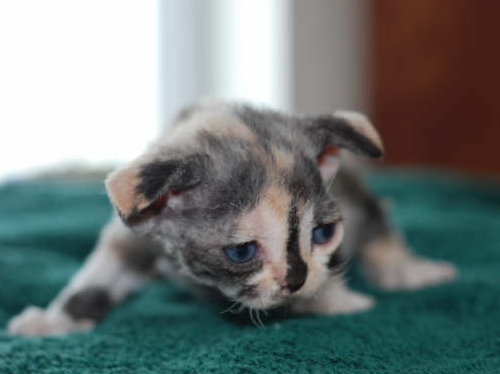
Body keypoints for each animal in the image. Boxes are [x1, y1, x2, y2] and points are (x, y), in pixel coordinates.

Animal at [7, 99, 458, 336]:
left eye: (324, 233)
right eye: (242, 252)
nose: (298, 279)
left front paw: (333, 298)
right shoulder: (131, 232)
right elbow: (96, 278)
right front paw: (54, 321)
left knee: (376, 214)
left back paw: (403, 269)